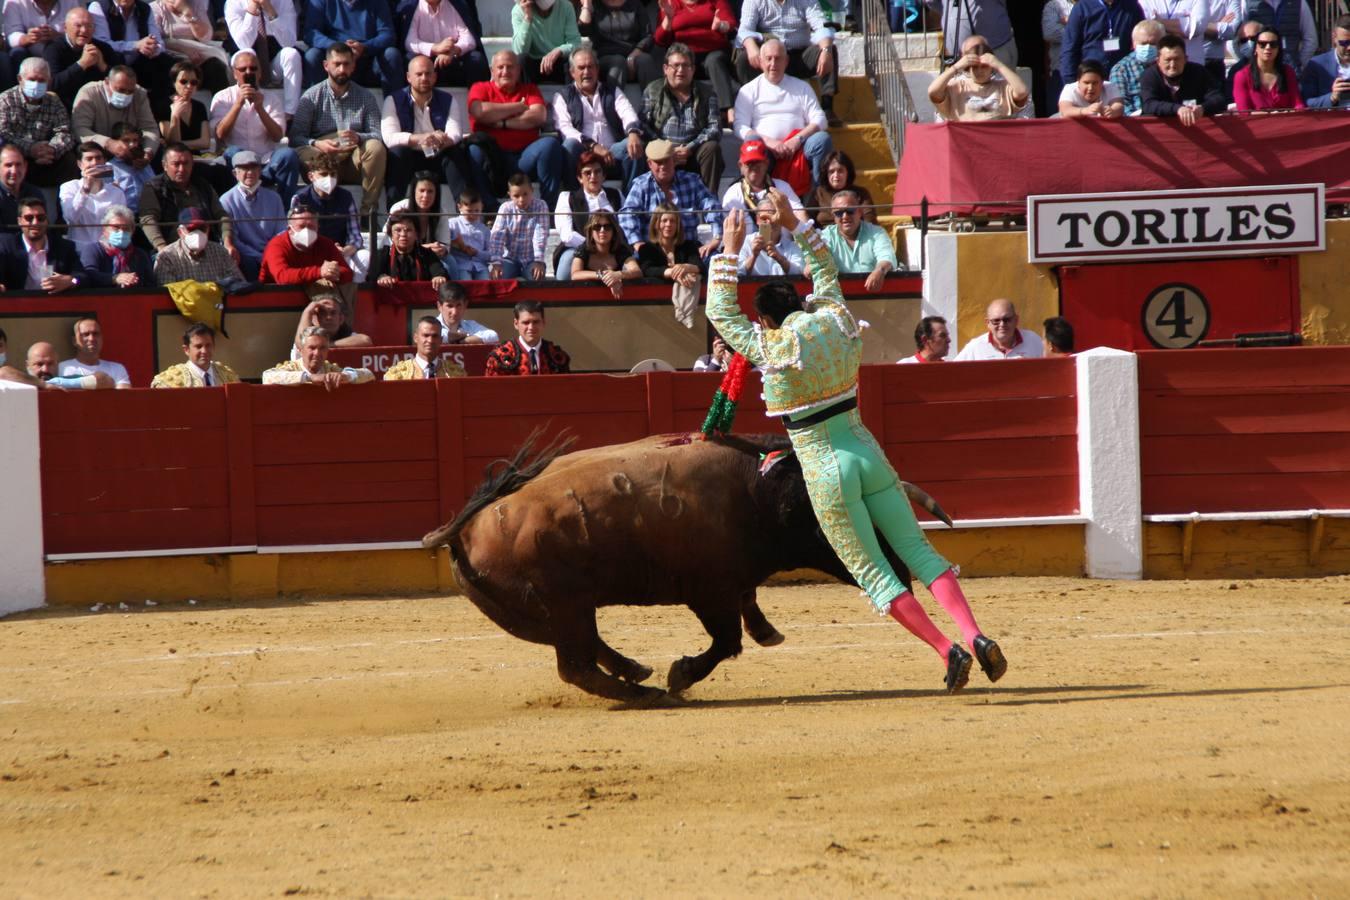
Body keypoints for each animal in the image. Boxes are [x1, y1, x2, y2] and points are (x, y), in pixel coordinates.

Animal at [421, 431, 950, 707]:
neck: (759, 494)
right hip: (564, 607)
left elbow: (746, 612)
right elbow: (726, 641)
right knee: (575, 666)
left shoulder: (730, 585)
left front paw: (767, 631)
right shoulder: (709, 592)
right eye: (849, 525)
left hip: (538, 615)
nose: (899, 572)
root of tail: (463, 530)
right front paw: (682, 674)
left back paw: (635, 671)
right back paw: (648, 692)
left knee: (582, 652)